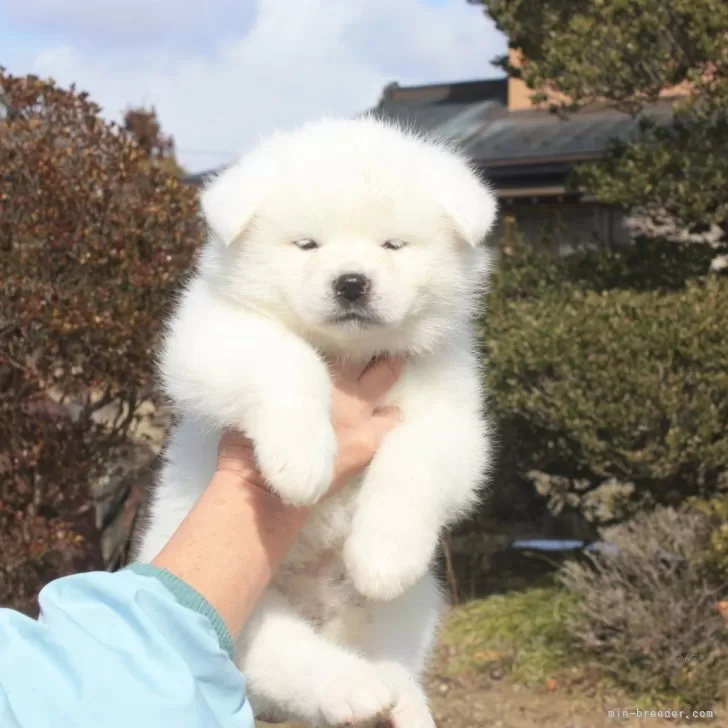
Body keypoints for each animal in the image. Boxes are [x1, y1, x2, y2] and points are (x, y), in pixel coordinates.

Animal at [134, 116, 498, 728]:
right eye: (307, 245)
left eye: (393, 246)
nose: (351, 282)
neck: (350, 356)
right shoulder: (212, 335)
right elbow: (289, 359)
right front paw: (301, 462)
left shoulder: (452, 417)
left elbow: (413, 464)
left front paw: (382, 553)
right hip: (244, 603)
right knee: (283, 657)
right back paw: (351, 688)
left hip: (413, 601)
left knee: (393, 657)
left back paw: (398, 698)